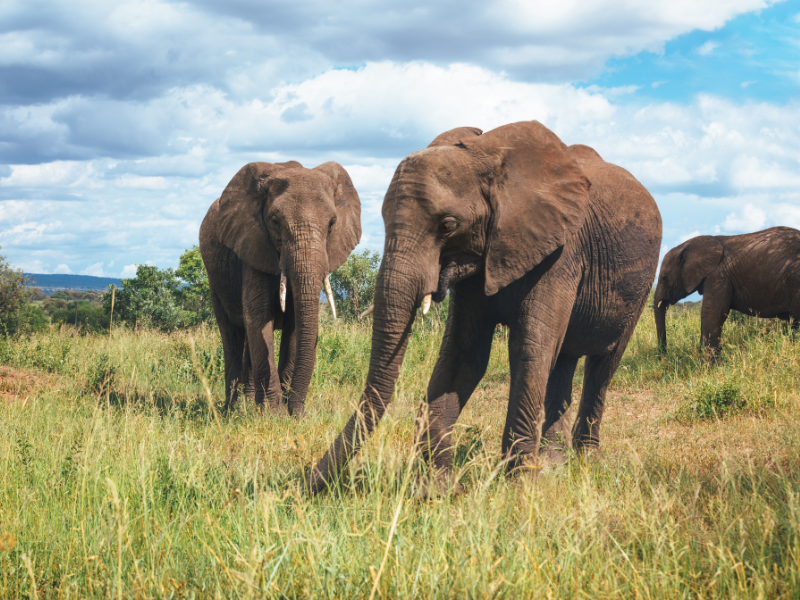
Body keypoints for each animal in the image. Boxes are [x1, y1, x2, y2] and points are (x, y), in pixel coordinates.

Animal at [199, 160, 361, 416]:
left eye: (332, 224)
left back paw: (249, 405)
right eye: (275, 221)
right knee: (232, 335)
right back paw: (233, 410)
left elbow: (294, 325)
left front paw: (284, 412)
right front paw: (274, 414)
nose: (299, 412)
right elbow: (258, 319)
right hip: (215, 280)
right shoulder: (251, 245)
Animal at [306, 120, 662, 495]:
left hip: (639, 286)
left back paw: (585, 461)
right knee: (563, 360)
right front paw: (435, 490)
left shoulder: (562, 253)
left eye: (447, 225)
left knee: (602, 366)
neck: (488, 158)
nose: (309, 483)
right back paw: (554, 464)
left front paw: (518, 488)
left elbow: (529, 349)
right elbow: (464, 356)